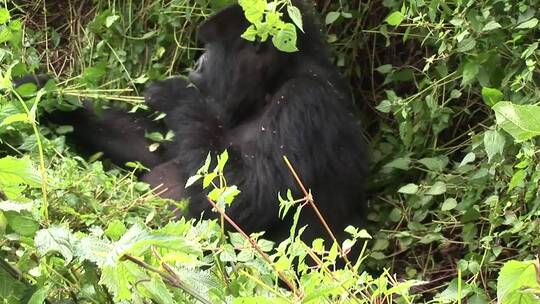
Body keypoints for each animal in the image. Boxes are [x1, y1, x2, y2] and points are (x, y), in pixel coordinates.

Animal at [40, 1, 368, 245]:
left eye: (211, 47)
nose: (196, 65)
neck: (273, 82)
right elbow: (157, 150)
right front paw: (52, 102)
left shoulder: (305, 100)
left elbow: (246, 197)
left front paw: (175, 94)